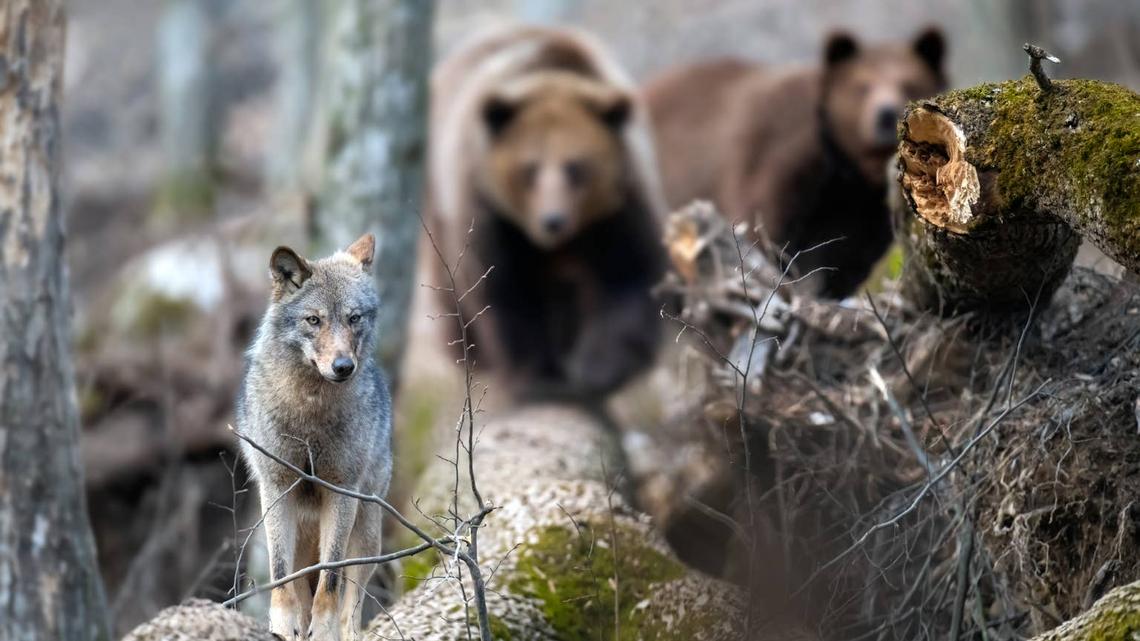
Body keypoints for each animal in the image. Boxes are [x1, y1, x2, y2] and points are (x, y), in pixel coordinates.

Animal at [236, 233, 393, 641]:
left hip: (366, 533)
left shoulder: (342, 490)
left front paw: (323, 631)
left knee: (352, 603)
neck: (310, 409)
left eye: (353, 318)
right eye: (314, 320)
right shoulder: (277, 487)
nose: (343, 367)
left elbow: (330, 580)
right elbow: (280, 575)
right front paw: (282, 624)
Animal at [425, 25, 668, 399]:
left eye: (576, 167)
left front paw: (596, 369)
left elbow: (629, 275)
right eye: (529, 169)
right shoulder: (492, 213)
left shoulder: (618, 208)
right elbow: (505, 291)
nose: (553, 222)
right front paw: (537, 376)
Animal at [645, 28, 947, 298]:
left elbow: (840, 265)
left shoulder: (863, 214)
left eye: (908, 82)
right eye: (862, 86)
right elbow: (765, 236)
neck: (846, 169)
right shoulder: (775, 165)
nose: (885, 115)